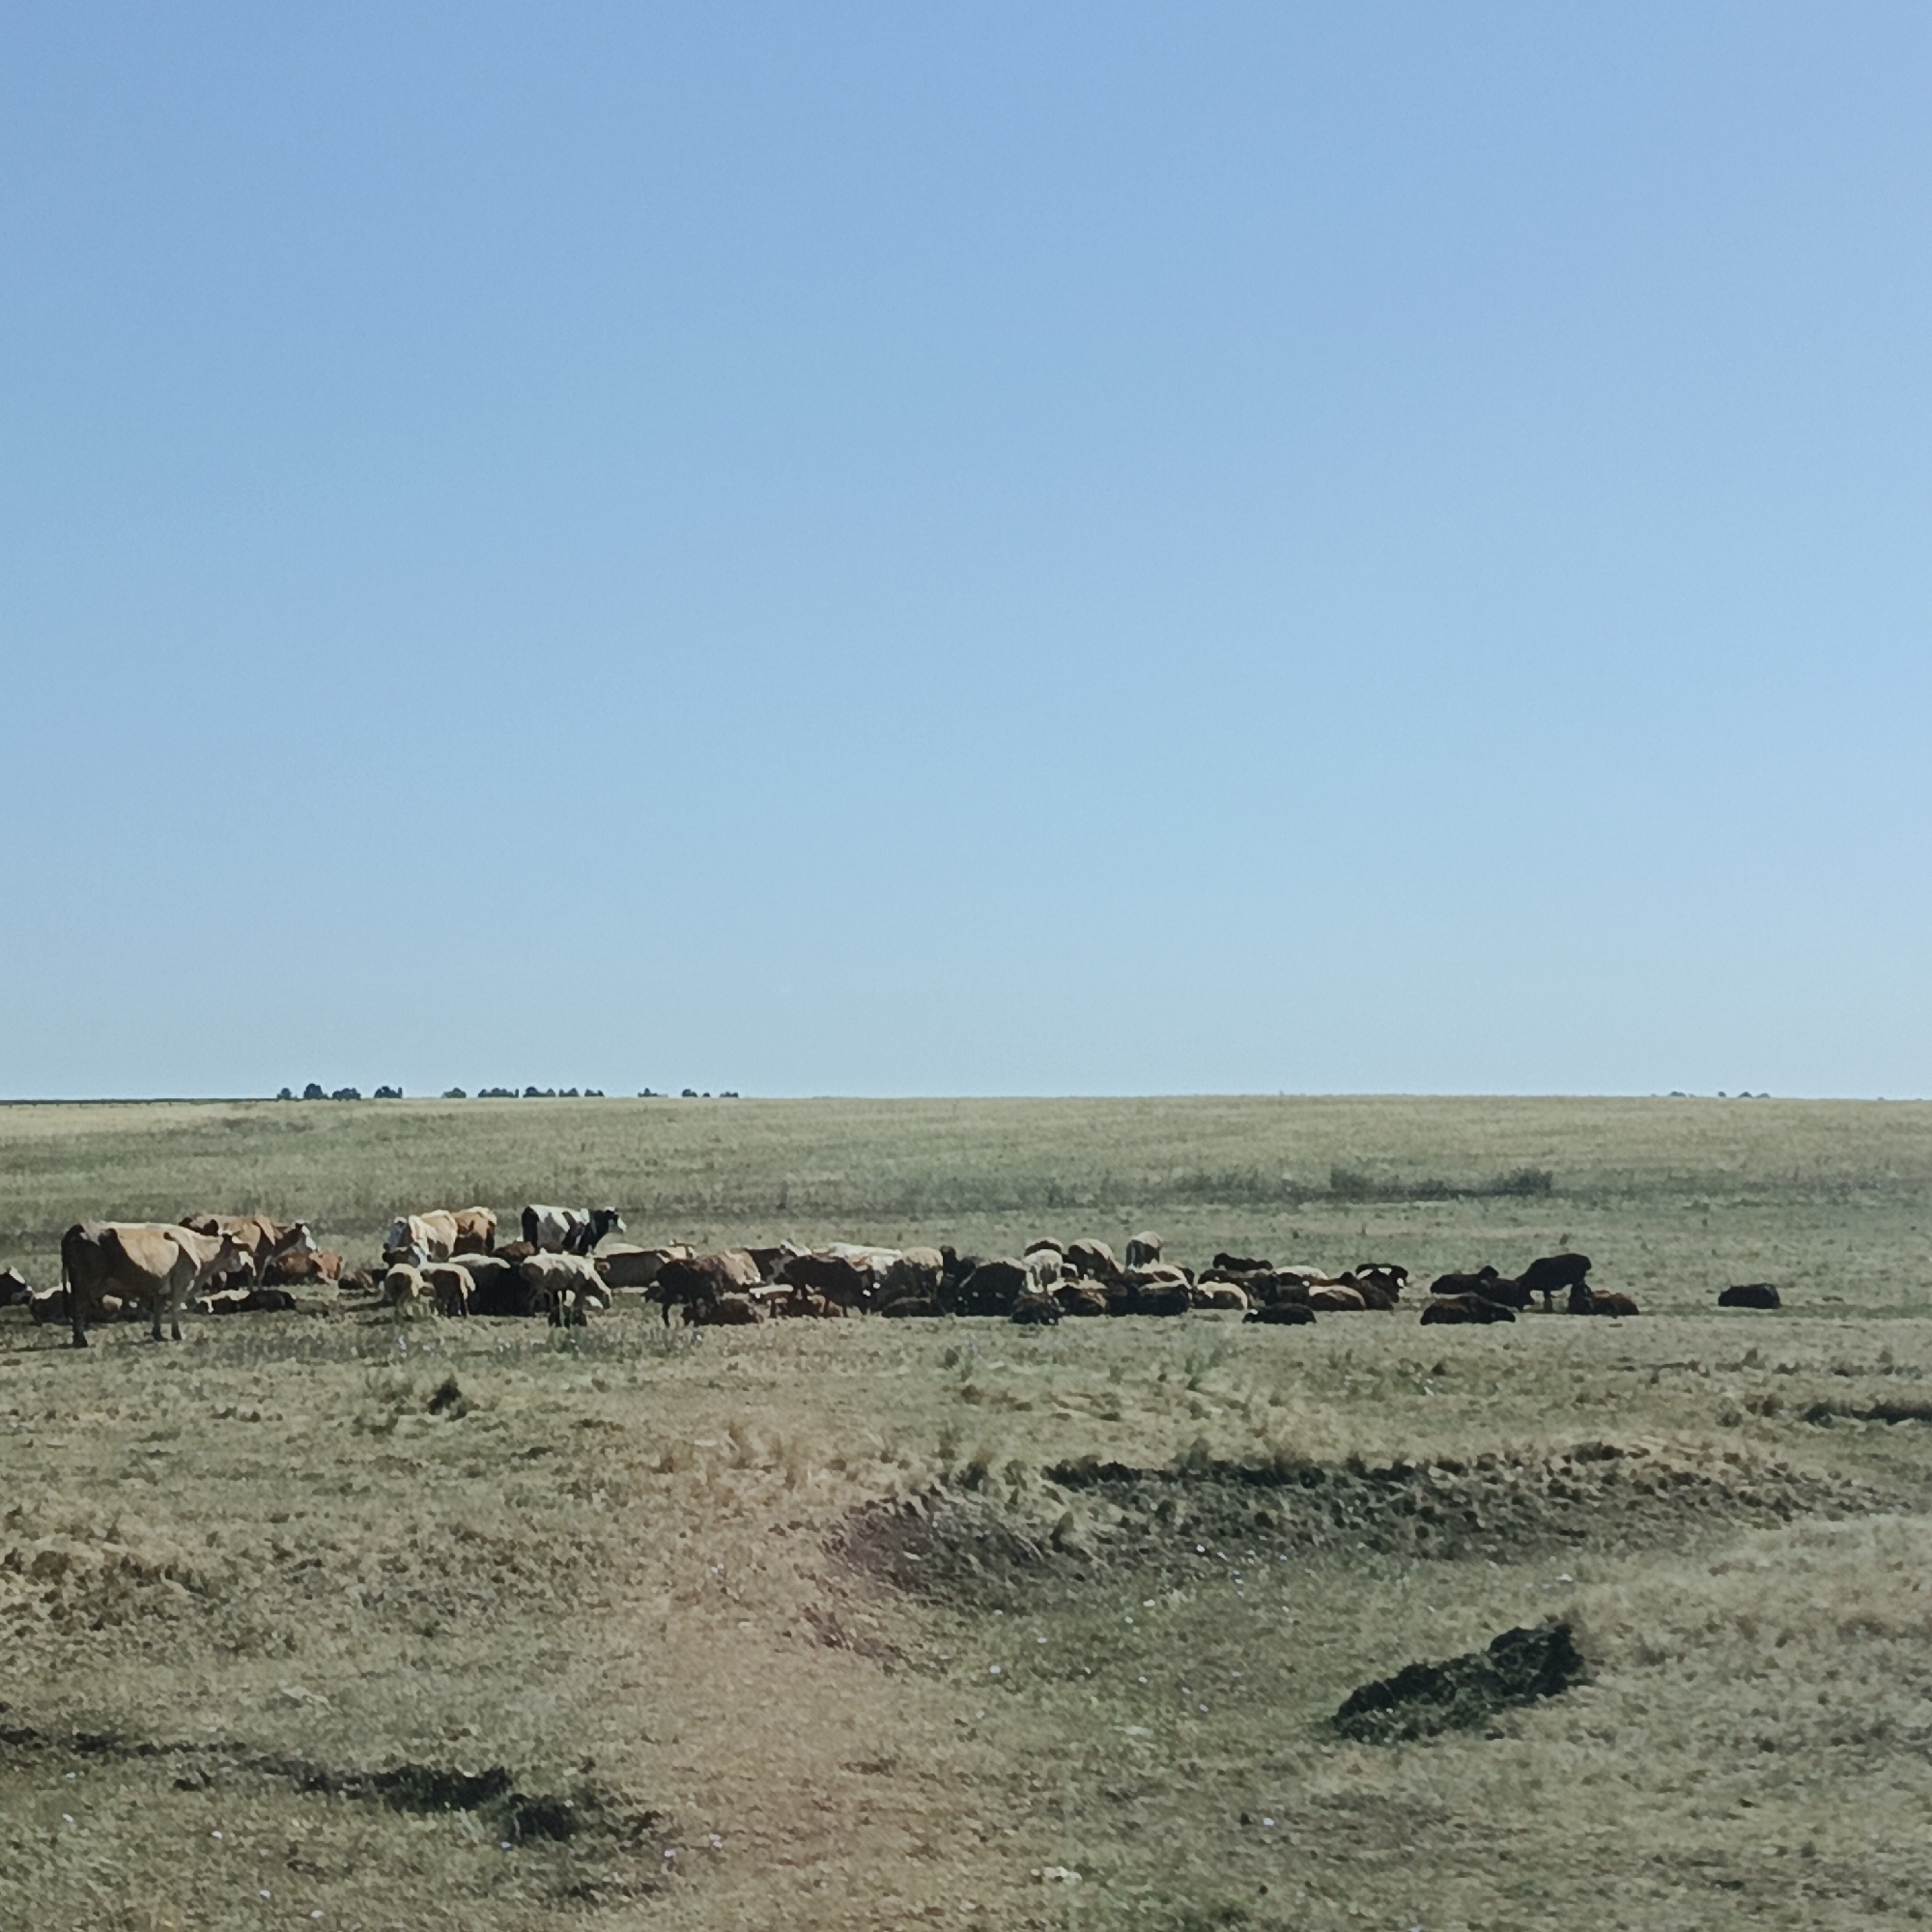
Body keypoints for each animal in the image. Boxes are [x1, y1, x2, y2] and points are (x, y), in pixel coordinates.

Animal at [63, 1221, 257, 1346]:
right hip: (85, 1285)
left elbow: (158, 1310)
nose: (249, 1264)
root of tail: (78, 1228)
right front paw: (177, 1334)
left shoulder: (160, 1289)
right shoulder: (180, 1284)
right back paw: (81, 1340)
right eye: (240, 1249)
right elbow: (175, 1309)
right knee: (78, 1308)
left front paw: (158, 1334)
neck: (197, 1248)